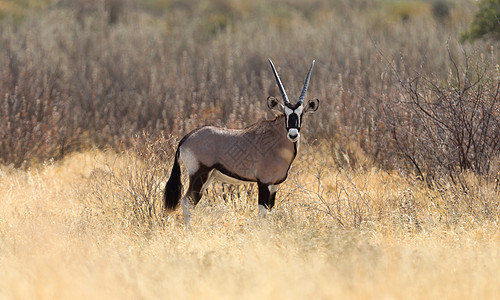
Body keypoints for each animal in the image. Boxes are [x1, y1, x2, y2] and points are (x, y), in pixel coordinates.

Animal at [164, 58, 320, 224]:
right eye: (285, 114)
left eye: (301, 114)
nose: (293, 134)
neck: (277, 141)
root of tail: (186, 139)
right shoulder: (264, 182)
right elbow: (262, 212)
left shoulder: (274, 185)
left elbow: (270, 211)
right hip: (199, 174)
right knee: (187, 202)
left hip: (208, 177)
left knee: (191, 202)